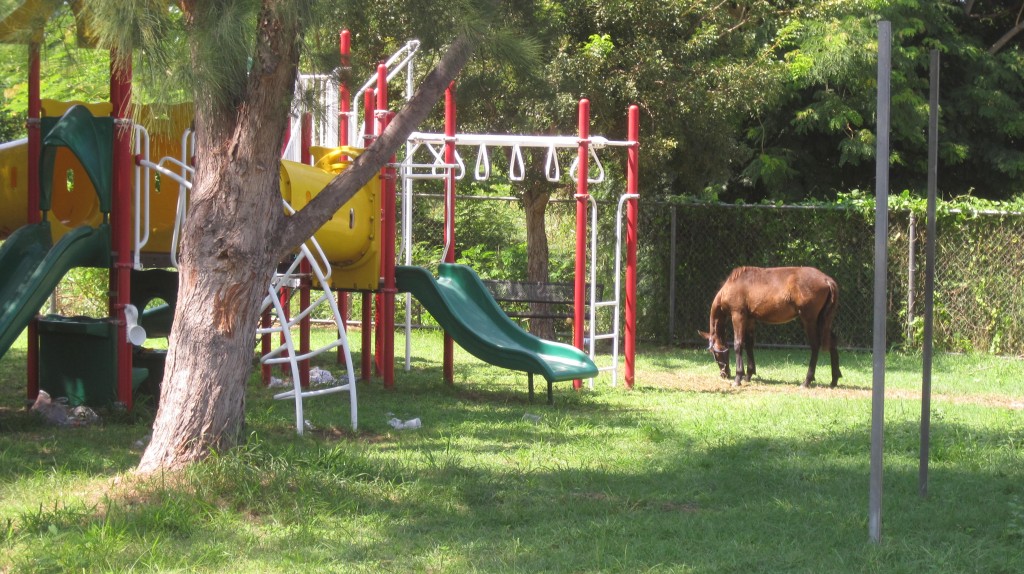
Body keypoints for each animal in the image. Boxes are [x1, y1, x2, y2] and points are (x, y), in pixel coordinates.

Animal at [704, 266, 839, 386]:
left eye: (715, 353)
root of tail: (827, 280)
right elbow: (749, 345)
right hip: (822, 320)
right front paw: (748, 375)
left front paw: (738, 377)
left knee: (815, 345)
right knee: (832, 342)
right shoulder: (750, 319)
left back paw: (807, 381)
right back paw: (834, 380)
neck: (732, 285)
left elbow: (738, 344)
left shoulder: (738, 315)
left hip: (809, 320)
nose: (724, 374)